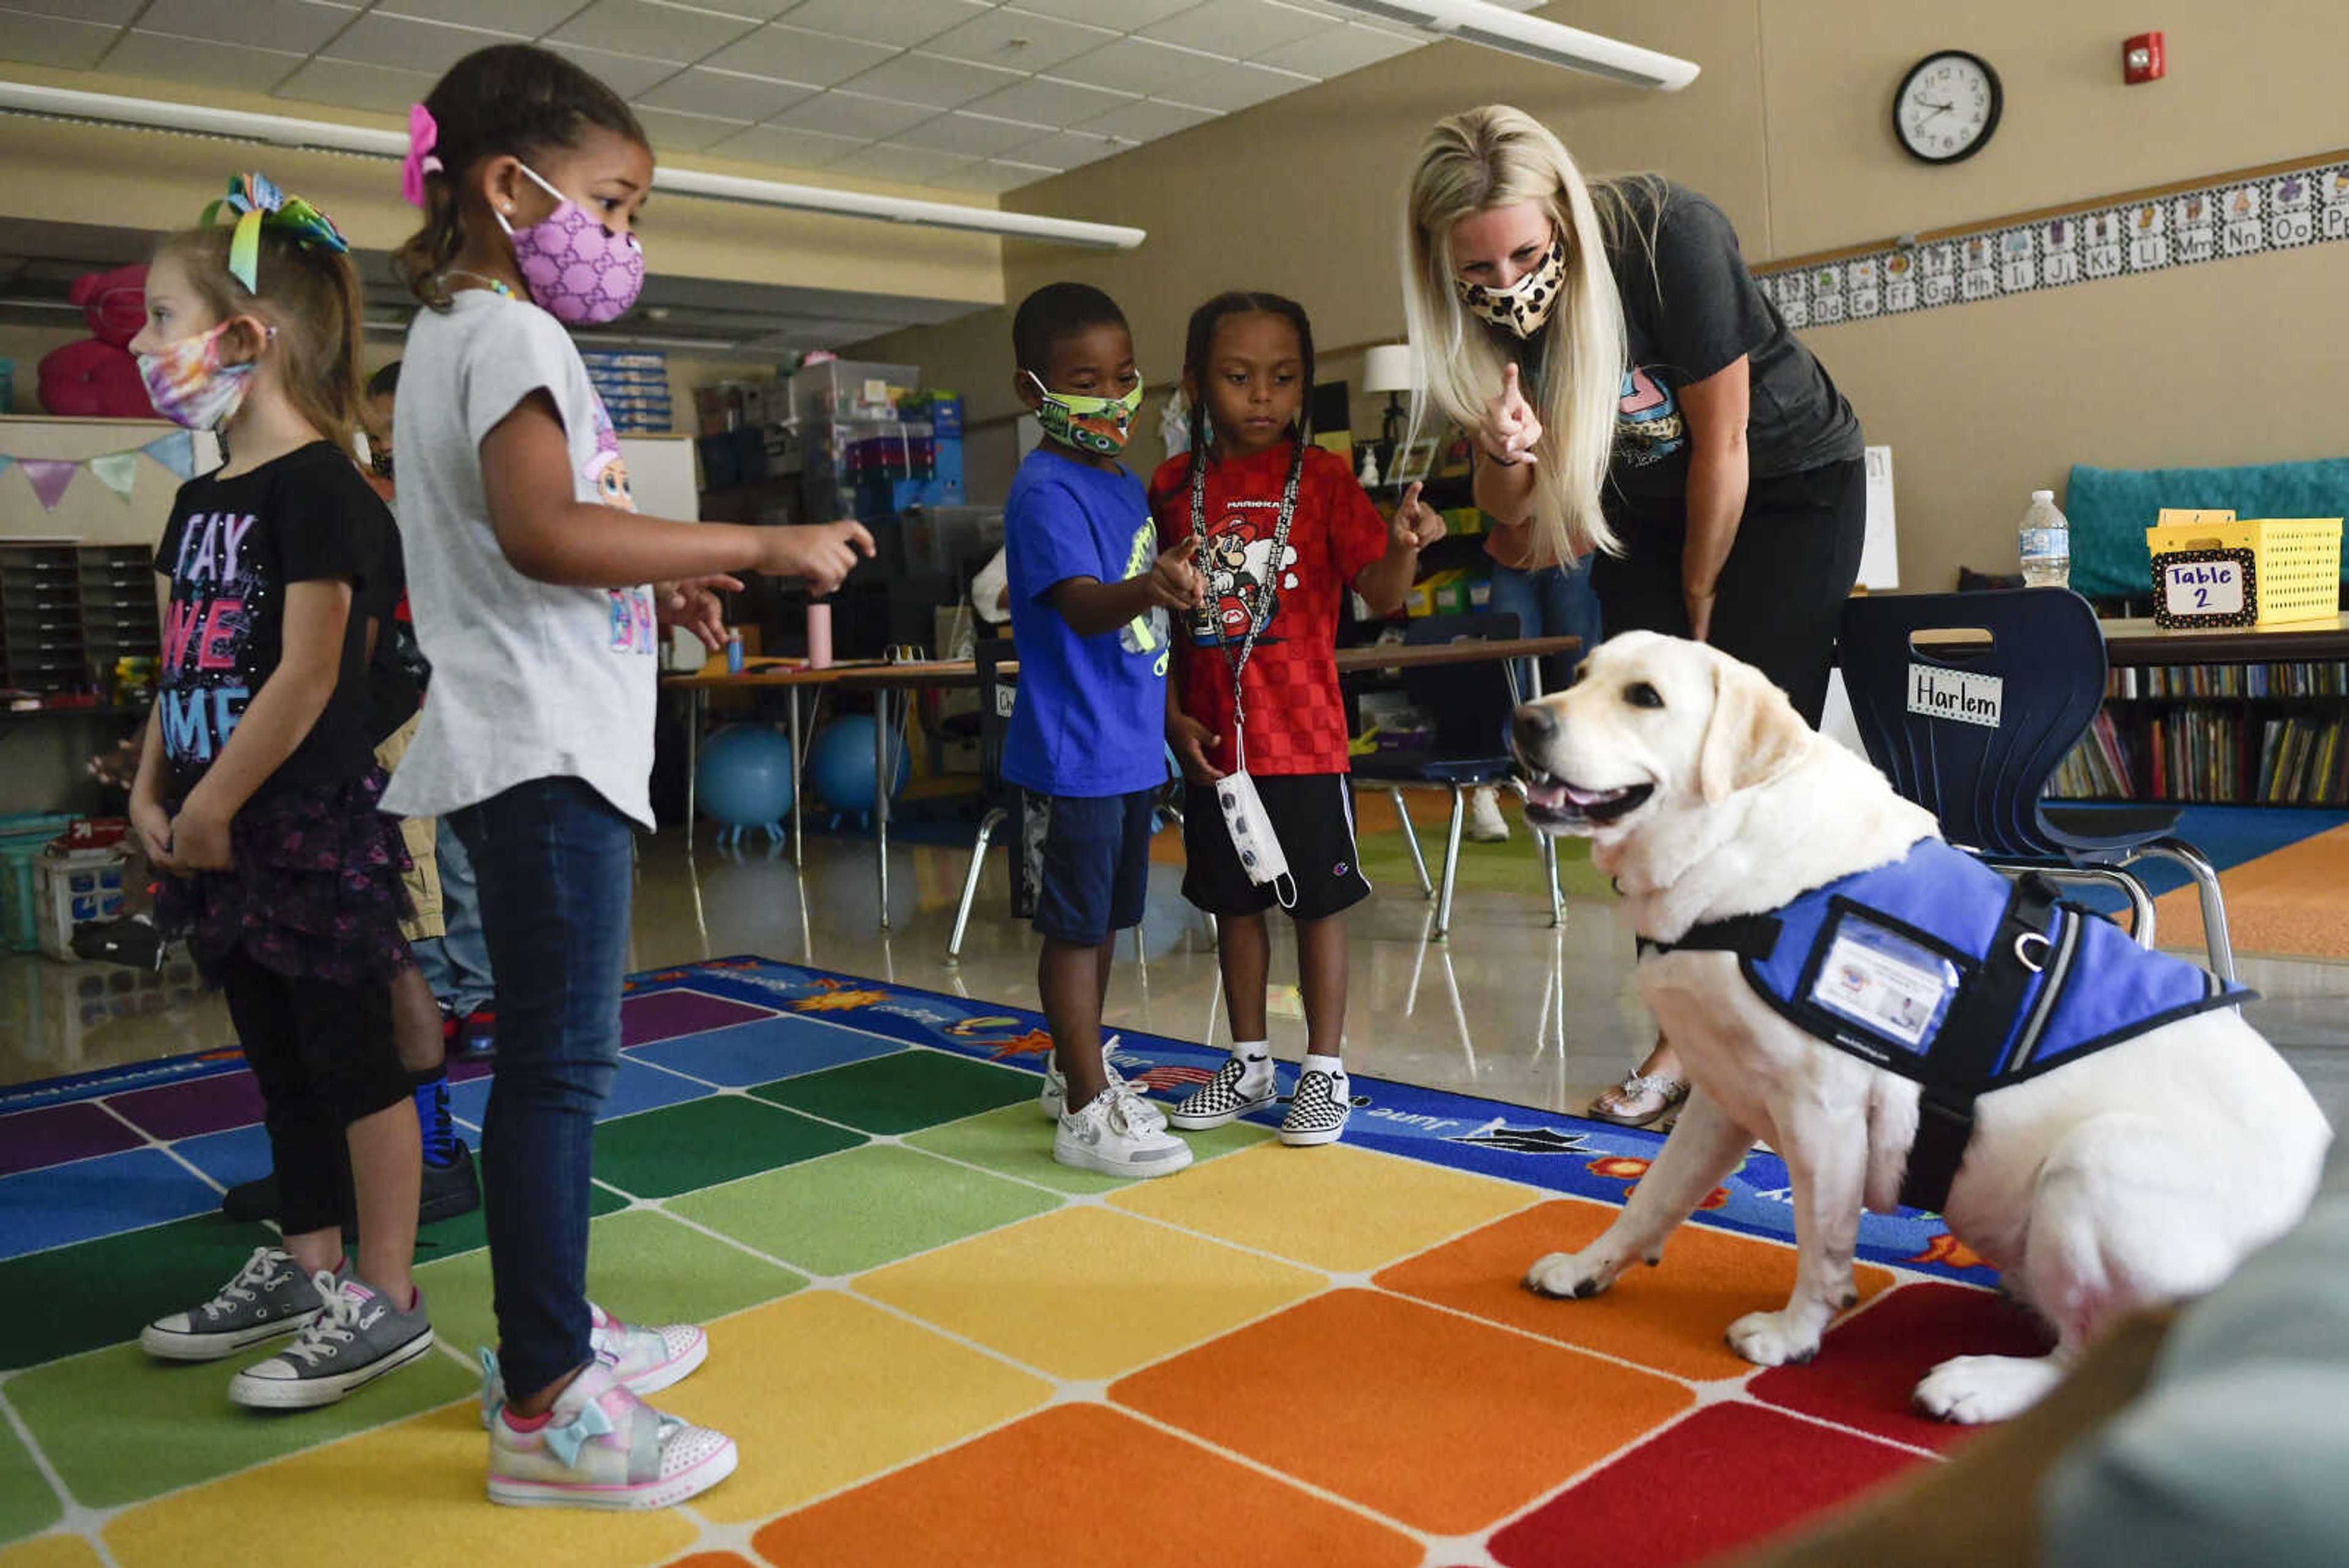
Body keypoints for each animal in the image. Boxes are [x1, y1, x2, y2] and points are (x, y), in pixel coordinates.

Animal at [1512, 634, 2320, 1419]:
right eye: (1579, 674)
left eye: (1643, 696)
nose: (1524, 720)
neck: (1735, 842)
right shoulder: (1720, 1093)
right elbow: (1651, 1196)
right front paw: (1587, 1268)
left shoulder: (1826, 1111)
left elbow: (1822, 1241)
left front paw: (1792, 1335)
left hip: (2094, 1161)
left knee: (2092, 1357)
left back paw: (1980, 1382)